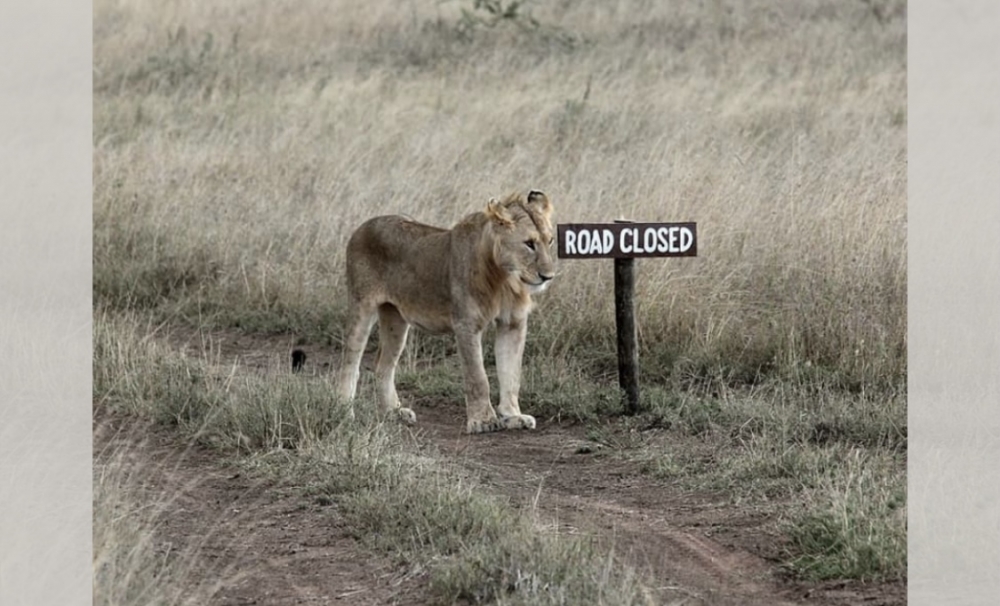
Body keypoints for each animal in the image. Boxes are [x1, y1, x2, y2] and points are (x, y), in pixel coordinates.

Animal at [334, 192, 556, 434]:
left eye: (550, 241)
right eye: (529, 244)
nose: (548, 276)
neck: (506, 279)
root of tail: (363, 225)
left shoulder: (513, 323)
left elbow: (511, 374)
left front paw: (513, 416)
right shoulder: (466, 324)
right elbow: (478, 377)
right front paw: (483, 421)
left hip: (396, 319)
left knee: (383, 365)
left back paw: (394, 412)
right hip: (362, 305)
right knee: (350, 362)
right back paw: (344, 413)